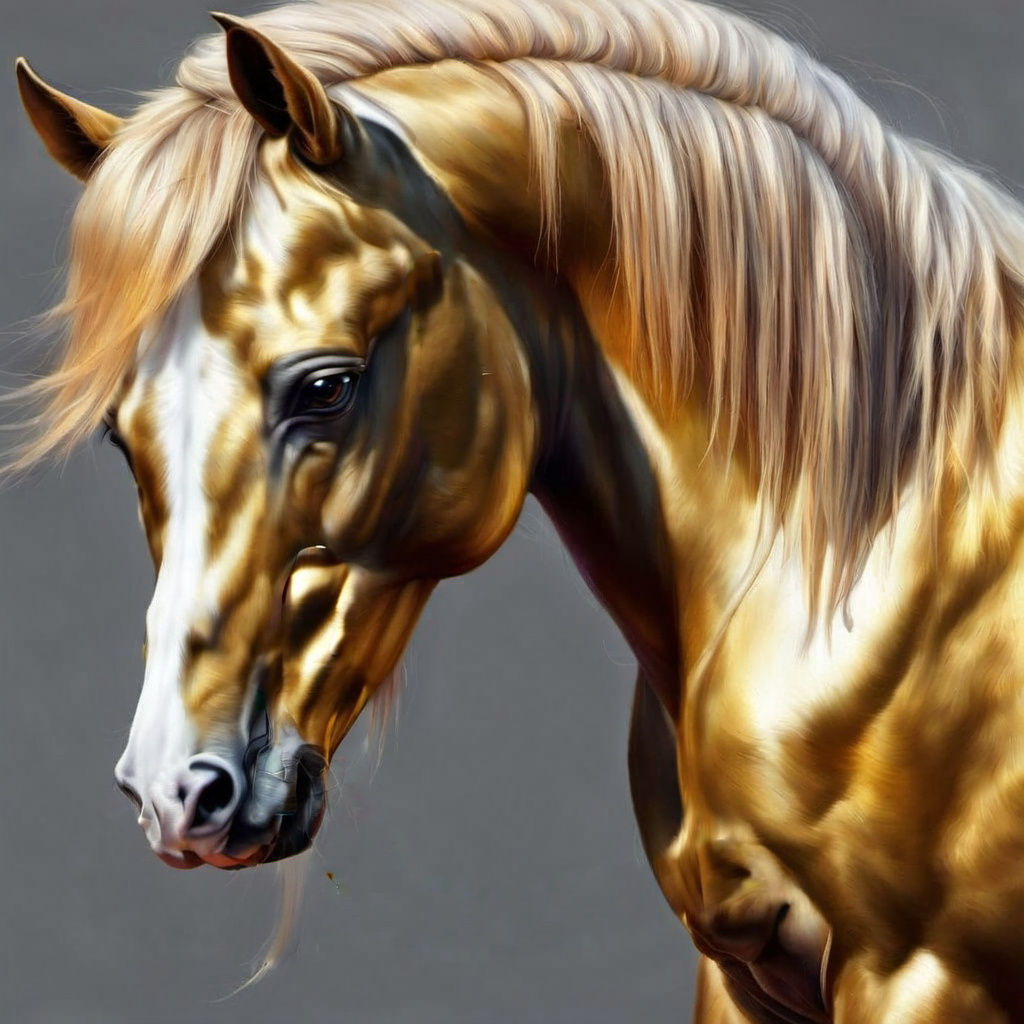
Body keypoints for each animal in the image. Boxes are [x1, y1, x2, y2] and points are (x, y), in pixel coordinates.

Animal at [10, 0, 1024, 1019]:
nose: (172, 790)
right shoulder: (742, 974)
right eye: (118, 431)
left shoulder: (920, 980)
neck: (866, 542)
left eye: (326, 388)